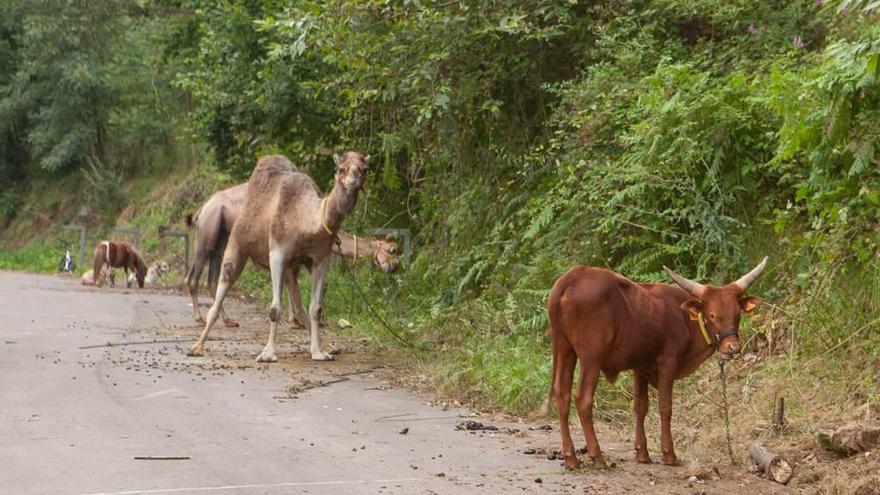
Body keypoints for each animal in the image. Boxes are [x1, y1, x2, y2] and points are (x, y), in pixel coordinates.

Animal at [186, 183, 398, 330]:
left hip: (222, 237)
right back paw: (200, 318)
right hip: (208, 230)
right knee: (194, 275)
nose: (394, 266)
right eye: (393, 250)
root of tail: (202, 209)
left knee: (212, 278)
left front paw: (300, 320)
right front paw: (301, 321)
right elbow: (303, 287)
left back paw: (228, 320)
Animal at [189, 153, 372, 362]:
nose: (353, 179)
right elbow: (275, 308)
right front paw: (268, 353)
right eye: (341, 168)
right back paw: (197, 346)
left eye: (365, 169)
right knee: (220, 289)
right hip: (235, 243)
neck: (305, 220)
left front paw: (318, 352)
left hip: (290, 268)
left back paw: (324, 347)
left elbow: (316, 307)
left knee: (299, 305)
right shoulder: (277, 254)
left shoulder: (320, 258)